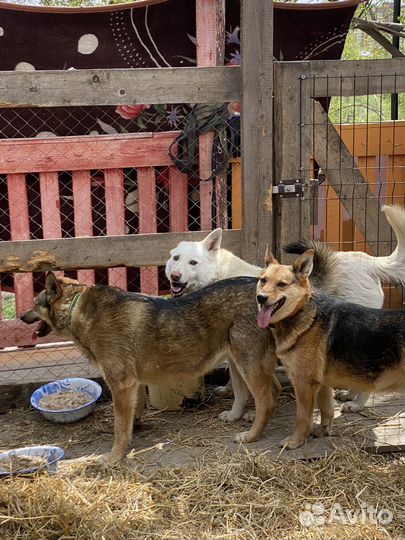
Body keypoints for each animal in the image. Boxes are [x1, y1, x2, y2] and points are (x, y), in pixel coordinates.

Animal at [21, 274, 280, 464]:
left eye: (34, 304)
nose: (22, 316)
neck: (77, 309)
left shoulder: (121, 385)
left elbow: (119, 427)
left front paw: (114, 458)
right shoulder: (132, 386)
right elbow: (127, 423)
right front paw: (129, 439)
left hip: (246, 363)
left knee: (267, 401)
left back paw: (252, 435)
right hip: (239, 361)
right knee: (266, 391)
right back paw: (240, 416)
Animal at [165, 205, 404, 416]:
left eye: (193, 262)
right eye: (176, 258)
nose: (174, 276)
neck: (218, 274)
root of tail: (370, 262)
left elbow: (241, 388)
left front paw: (235, 412)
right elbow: (235, 381)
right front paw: (227, 391)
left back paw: (357, 404)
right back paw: (349, 395)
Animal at [256, 251, 404, 450]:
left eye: (281, 284)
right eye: (263, 280)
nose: (261, 298)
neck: (304, 314)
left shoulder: (303, 384)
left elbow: (302, 418)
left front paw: (296, 441)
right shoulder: (323, 384)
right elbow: (327, 411)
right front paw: (322, 432)